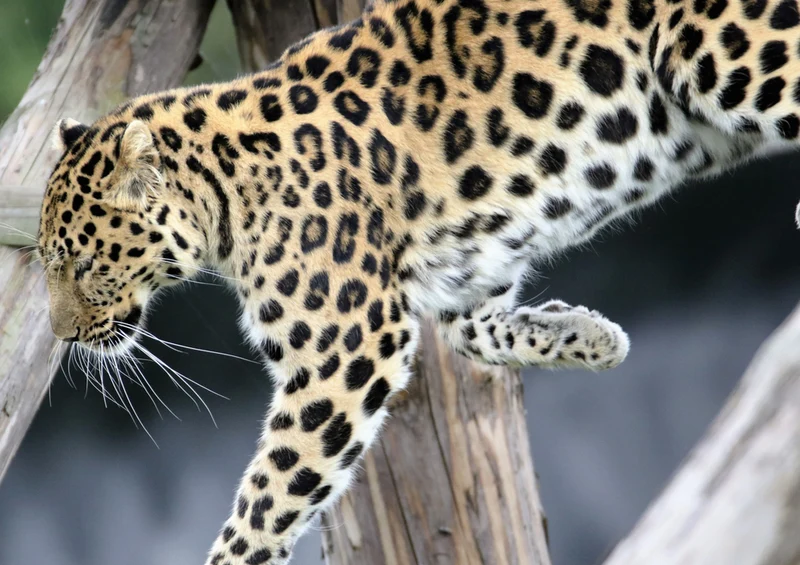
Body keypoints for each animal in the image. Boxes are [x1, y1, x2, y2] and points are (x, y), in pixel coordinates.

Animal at [35, 0, 800, 563]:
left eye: (82, 264)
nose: (62, 334)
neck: (225, 193)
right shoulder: (465, 272)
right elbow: (476, 334)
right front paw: (590, 334)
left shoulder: (344, 349)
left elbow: (271, 493)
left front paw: (236, 554)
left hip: (729, 53)